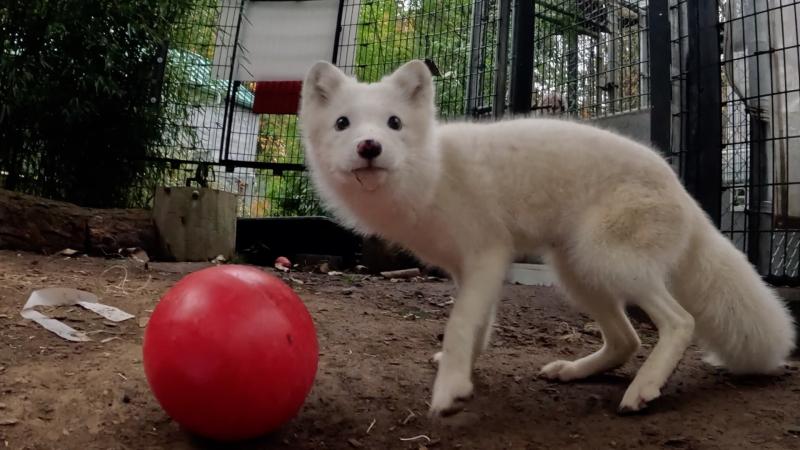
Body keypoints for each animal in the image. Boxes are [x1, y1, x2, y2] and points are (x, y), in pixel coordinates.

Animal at [296, 59, 796, 418]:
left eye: (394, 123)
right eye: (343, 124)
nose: (369, 147)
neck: (433, 171)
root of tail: (684, 193)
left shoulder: (488, 253)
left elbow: (460, 324)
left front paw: (450, 391)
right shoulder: (468, 268)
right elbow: (478, 326)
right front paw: (464, 372)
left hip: (608, 262)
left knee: (680, 322)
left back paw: (643, 390)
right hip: (578, 273)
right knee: (627, 340)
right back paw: (575, 371)